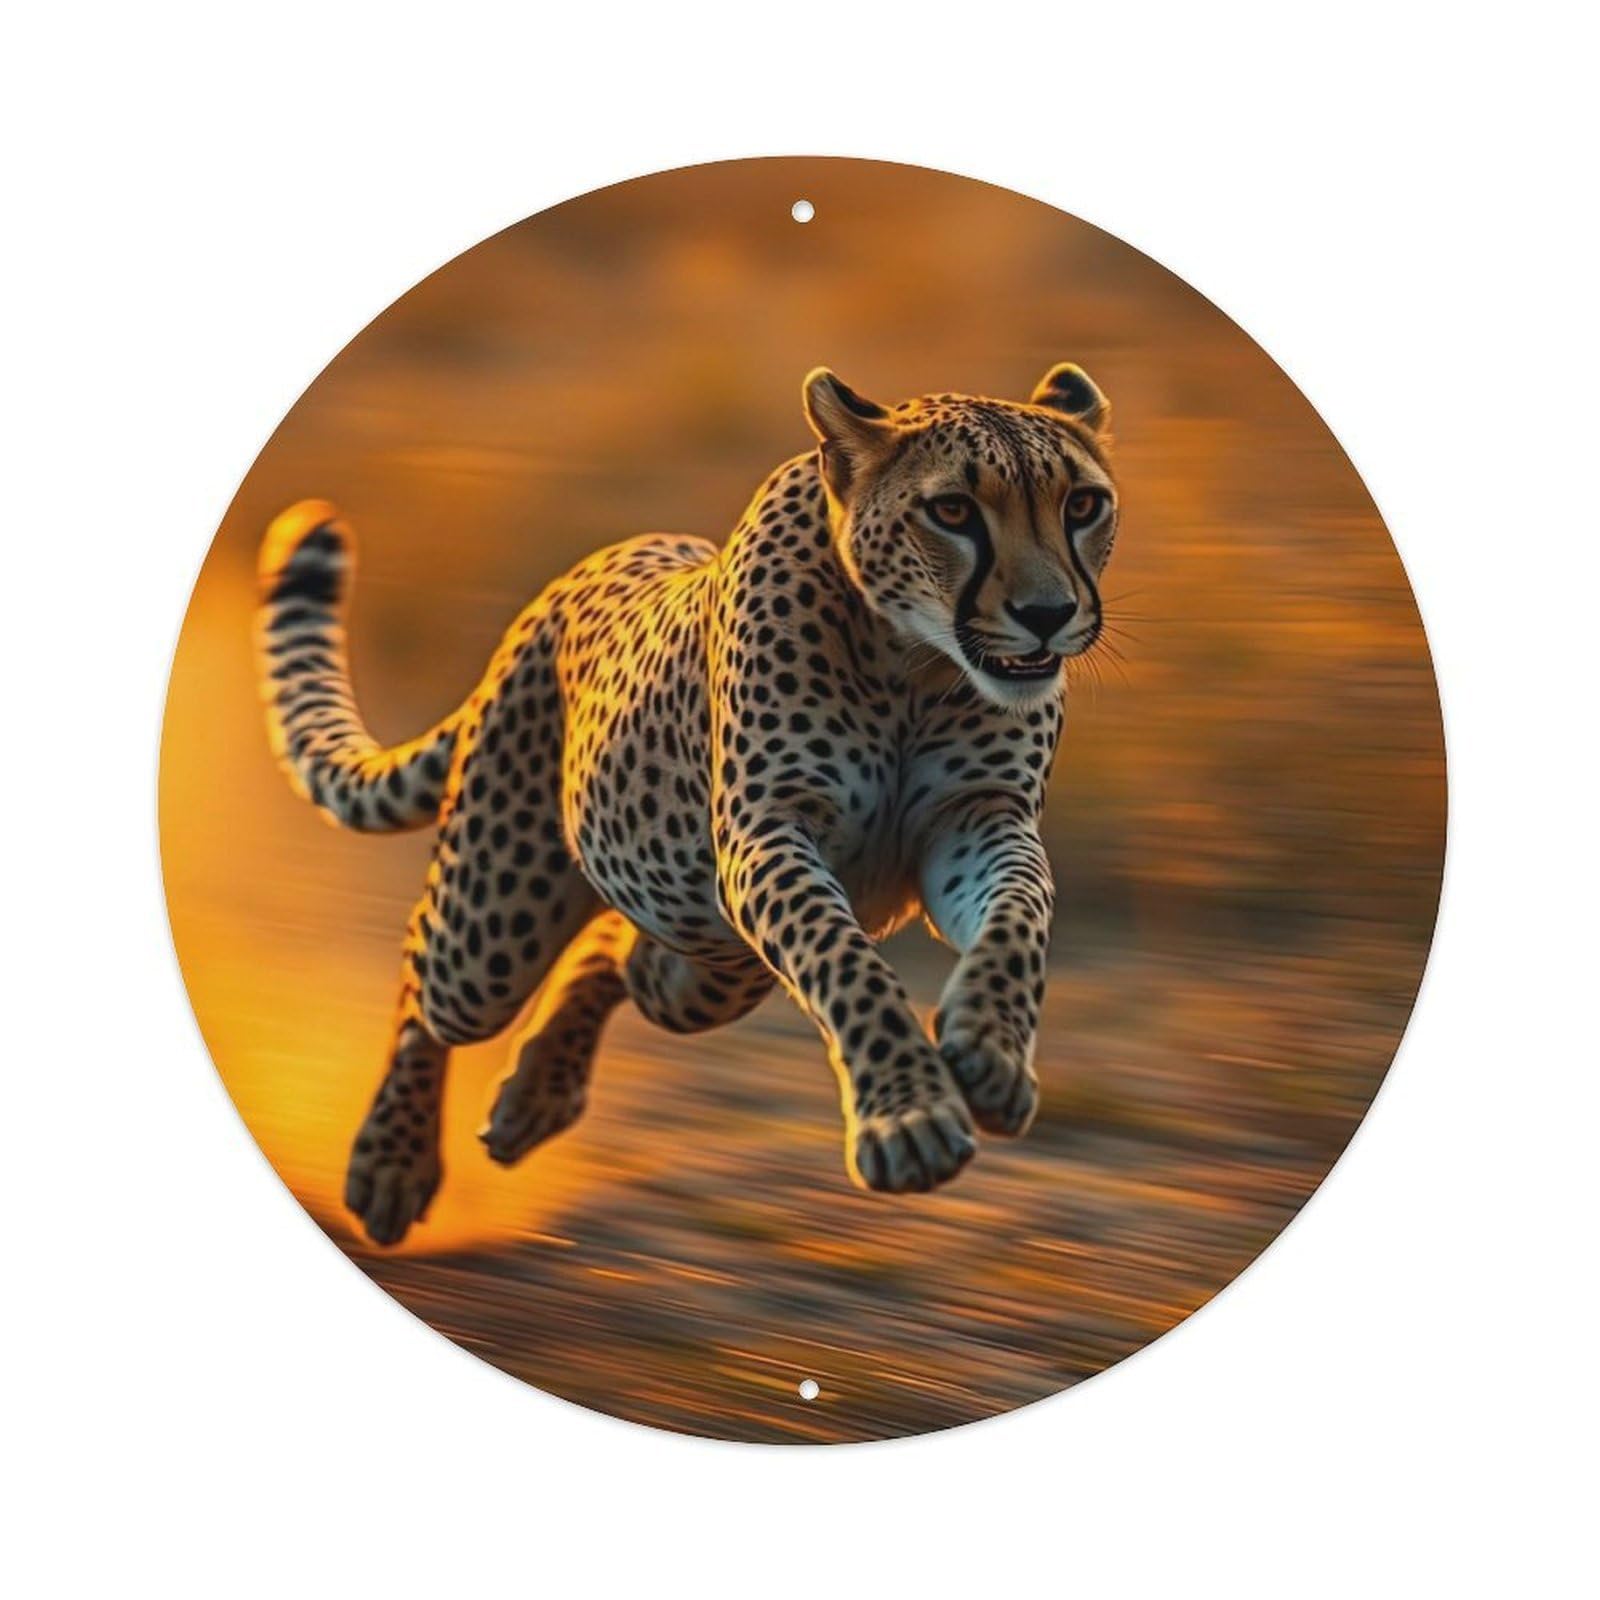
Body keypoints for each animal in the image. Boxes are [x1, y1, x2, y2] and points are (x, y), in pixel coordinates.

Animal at [256, 362, 1120, 1245]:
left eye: (1083, 505)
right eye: (952, 511)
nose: (1047, 615)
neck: (913, 661)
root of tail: (562, 588)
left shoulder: (979, 821)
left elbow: (1019, 918)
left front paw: (992, 1049)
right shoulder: (769, 833)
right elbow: (845, 962)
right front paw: (908, 1119)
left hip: (707, 961)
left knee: (623, 954)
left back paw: (536, 1094)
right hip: (492, 939)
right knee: (425, 981)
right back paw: (390, 1164)